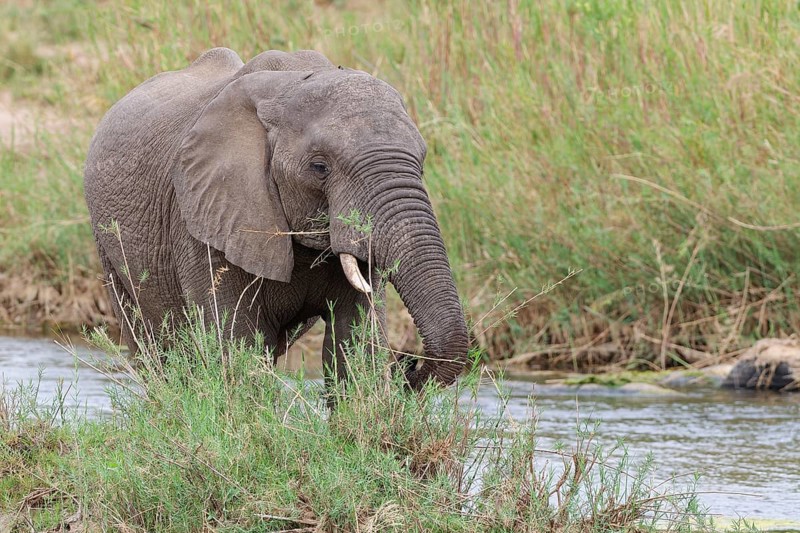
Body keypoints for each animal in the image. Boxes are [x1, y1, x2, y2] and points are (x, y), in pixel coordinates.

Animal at [83, 48, 468, 390]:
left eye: (421, 164)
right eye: (320, 167)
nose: (407, 365)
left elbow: (355, 343)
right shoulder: (199, 216)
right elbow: (235, 343)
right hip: (108, 245)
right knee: (153, 347)